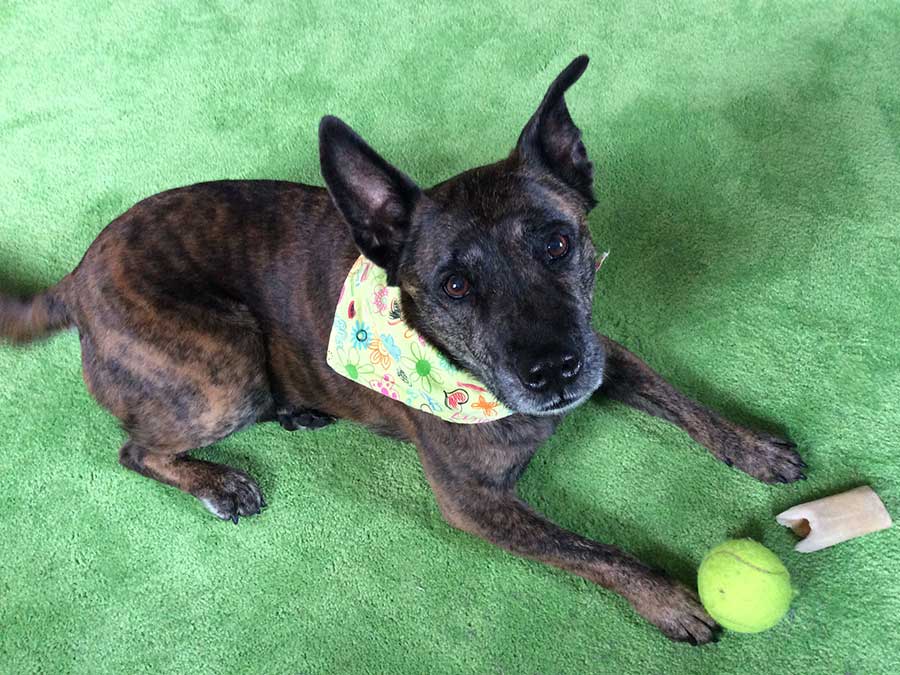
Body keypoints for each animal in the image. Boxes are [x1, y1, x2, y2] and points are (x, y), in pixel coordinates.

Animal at [0, 56, 800, 644]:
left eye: (557, 242)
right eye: (453, 284)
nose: (553, 372)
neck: (472, 381)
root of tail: (75, 276)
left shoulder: (604, 352)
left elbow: (684, 403)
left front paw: (754, 446)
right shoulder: (475, 504)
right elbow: (594, 549)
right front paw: (667, 596)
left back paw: (298, 412)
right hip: (224, 368)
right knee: (136, 448)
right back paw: (218, 482)